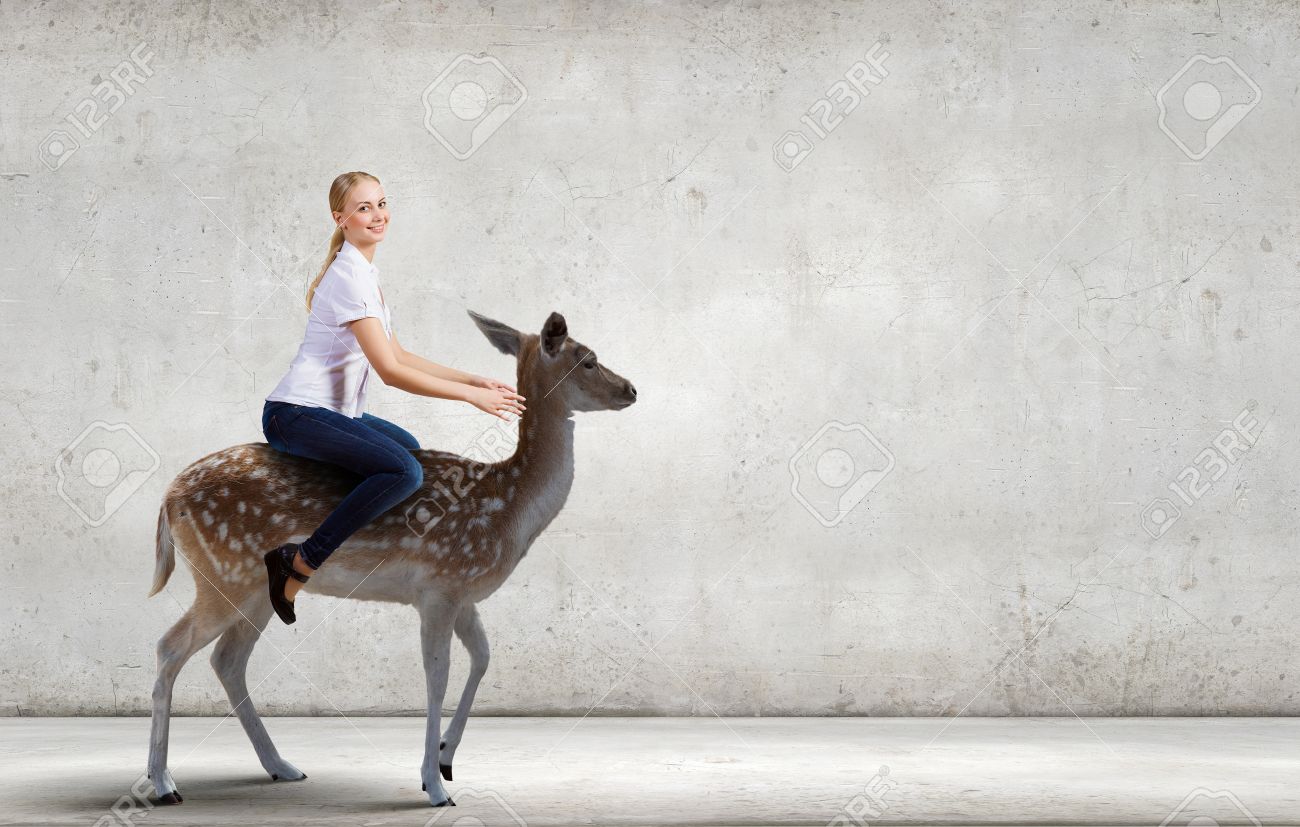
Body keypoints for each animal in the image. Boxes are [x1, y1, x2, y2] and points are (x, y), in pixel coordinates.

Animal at [145, 310, 637, 807]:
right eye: (588, 360)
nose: (632, 389)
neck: (506, 512)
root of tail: (167, 499)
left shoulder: (461, 594)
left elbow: (483, 657)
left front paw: (445, 757)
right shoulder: (440, 585)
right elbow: (437, 674)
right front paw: (435, 786)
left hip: (255, 592)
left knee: (227, 659)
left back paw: (281, 766)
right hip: (223, 572)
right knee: (171, 646)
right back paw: (163, 783)